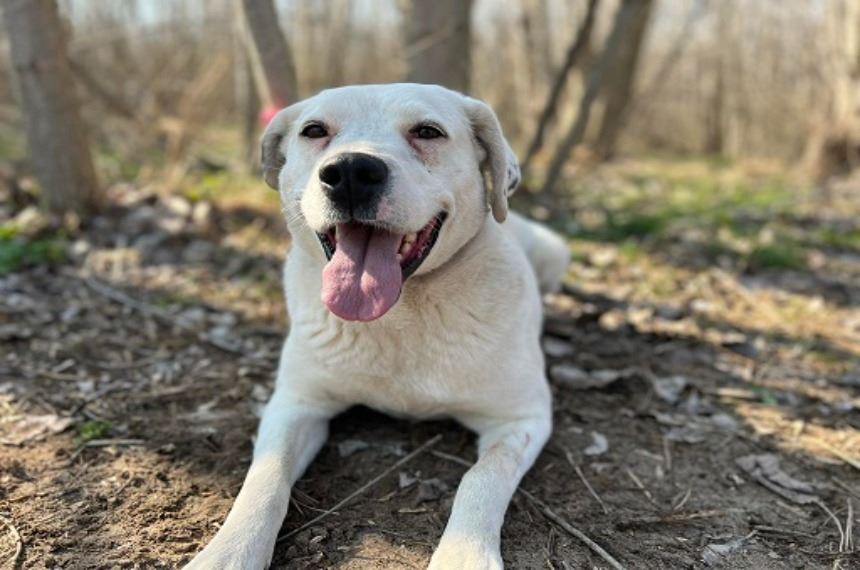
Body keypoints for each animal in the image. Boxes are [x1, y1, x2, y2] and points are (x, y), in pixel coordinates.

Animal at [185, 83, 570, 570]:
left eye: (428, 131)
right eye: (314, 130)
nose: (350, 171)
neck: (399, 316)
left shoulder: (521, 418)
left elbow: (482, 477)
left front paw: (463, 556)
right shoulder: (296, 403)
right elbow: (266, 477)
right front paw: (228, 551)